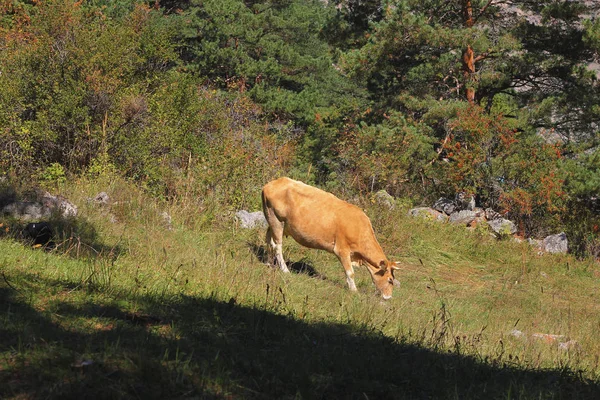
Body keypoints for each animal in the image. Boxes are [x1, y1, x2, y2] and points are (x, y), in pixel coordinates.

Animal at [262, 177, 398, 298]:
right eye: (390, 280)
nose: (388, 297)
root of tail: (272, 183)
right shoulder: (342, 250)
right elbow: (350, 273)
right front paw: (354, 290)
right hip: (277, 220)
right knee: (277, 246)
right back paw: (284, 269)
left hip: (273, 221)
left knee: (269, 239)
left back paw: (269, 262)